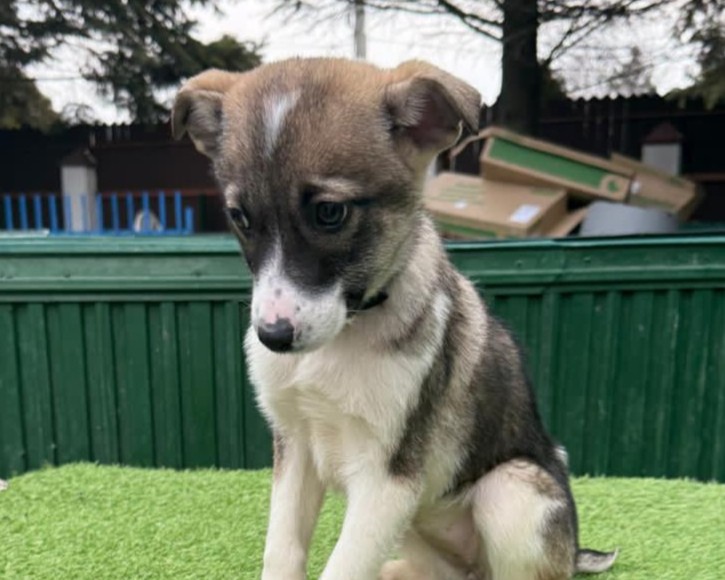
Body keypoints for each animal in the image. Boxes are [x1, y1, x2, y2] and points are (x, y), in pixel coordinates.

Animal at [172, 58, 617, 580]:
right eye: (240, 217)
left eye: (329, 212)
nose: (273, 337)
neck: (345, 334)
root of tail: (575, 552)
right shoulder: (295, 446)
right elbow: (281, 553)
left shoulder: (388, 476)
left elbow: (341, 570)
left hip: (513, 492)